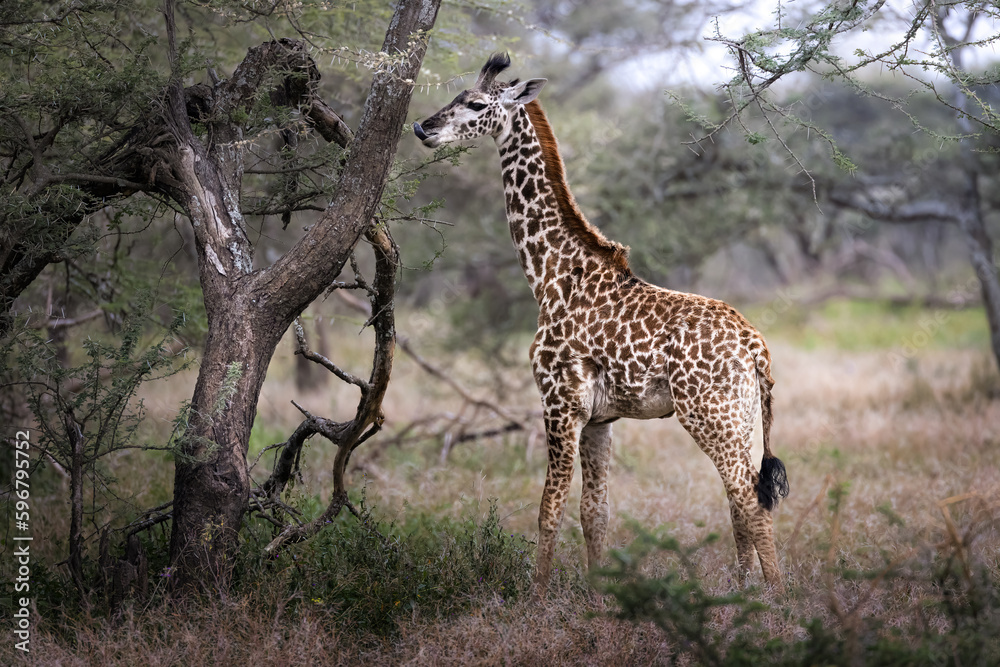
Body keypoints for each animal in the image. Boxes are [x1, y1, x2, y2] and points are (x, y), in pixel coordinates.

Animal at [414, 53, 789, 596]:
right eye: (456, 96)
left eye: (478, 104)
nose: (424, 127)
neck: (550, 274)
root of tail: (754, 345)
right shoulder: (599, 419)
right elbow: (595, 512)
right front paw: (596, 593)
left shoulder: (558, 403)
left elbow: (548, 508)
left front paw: (537, 596)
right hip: (739, 416)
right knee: (740, 500)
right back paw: (740, 591)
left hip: (708, 413)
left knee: (750, 502)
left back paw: (775, 599)